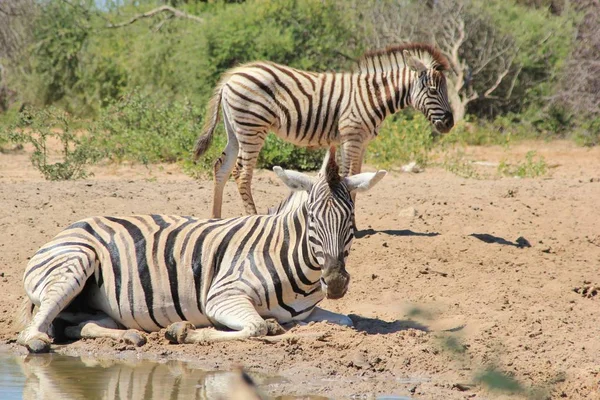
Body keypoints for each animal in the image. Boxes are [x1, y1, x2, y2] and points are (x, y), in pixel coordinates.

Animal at [18, 148, 386, 354]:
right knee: (33, 330)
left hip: (97, 305)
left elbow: (346, 319)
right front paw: (182, 332)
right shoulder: (222, 296)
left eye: (351, 218)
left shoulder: (306, 313)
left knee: (74, 326)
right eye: (312, 217)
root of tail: (71, 226)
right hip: (76, 263)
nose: (335, 282)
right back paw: (38, 342)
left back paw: (131, 337)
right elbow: (258, 328)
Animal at [195, 40, 452, 219]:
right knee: (242, 174)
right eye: (432, 90)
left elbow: (357, 176)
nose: (449, 123)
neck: (371, 96)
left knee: (221, 167)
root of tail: (231, 77)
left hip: (235, 130)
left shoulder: (361, 141)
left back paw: (215, 218)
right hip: (252, 127)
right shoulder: (352, 137)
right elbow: (349, 175)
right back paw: (252, 217)